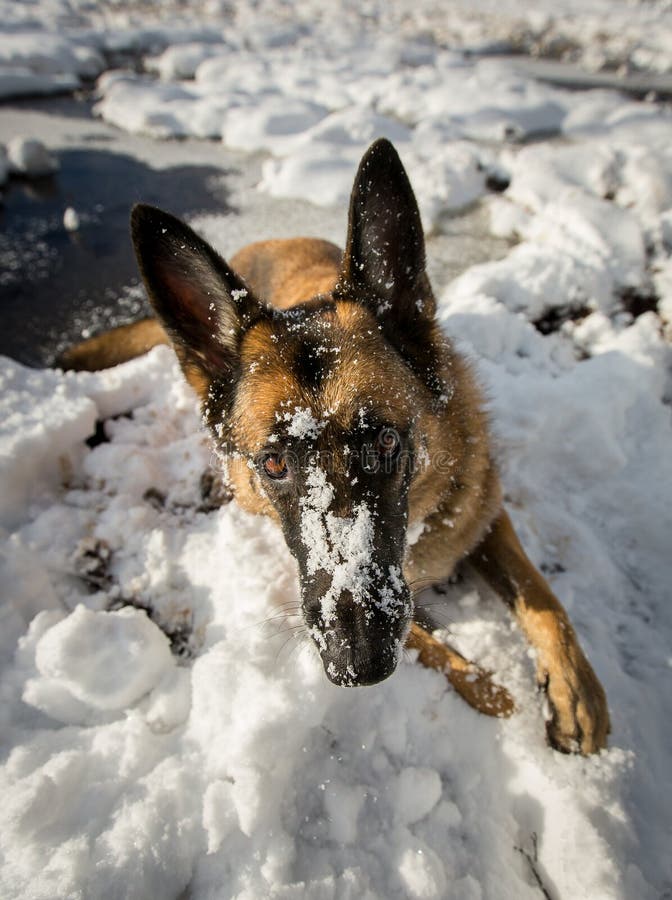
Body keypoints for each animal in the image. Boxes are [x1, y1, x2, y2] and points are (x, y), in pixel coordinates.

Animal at [61, 139, 608, 752]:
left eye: (386, 440)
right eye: (274, 462)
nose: (358, 664)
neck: (423, 524)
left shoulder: (484, 512)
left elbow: (542, 595)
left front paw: (577, 691)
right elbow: (427, 639)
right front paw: (490, 690)